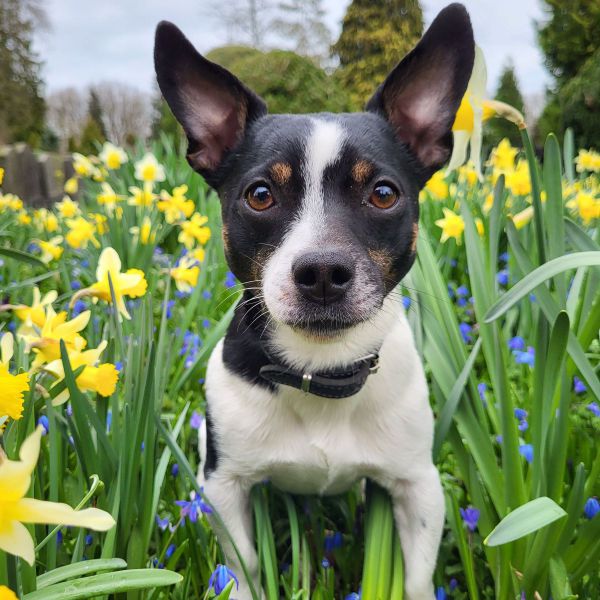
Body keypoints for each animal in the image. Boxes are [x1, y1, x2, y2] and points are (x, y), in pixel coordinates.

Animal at [154, 5, 474, 600]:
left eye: (383, 193)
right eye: (260, 195)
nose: (323, 271)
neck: (320, 369)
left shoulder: (419, 488)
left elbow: (416, 576)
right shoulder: (225, 488)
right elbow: (244, 568)